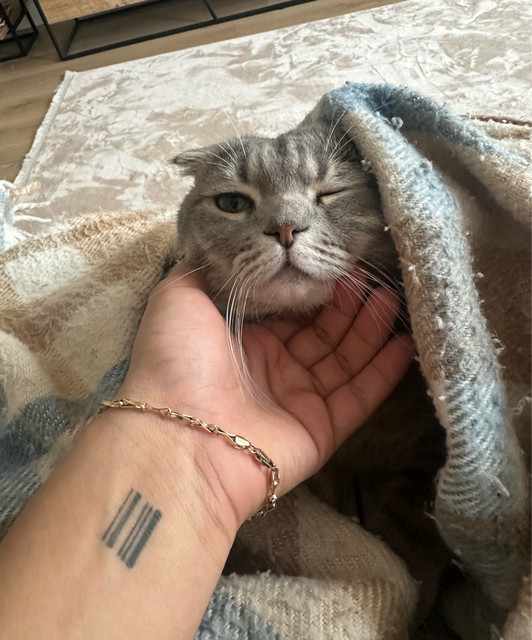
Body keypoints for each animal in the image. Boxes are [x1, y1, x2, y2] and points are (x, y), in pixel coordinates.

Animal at [173, 120, 449, 623]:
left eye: (332, 192)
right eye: (232, 203)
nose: (285, 228)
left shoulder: (429, 456)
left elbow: (409, 527)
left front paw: (411, 600)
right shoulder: (329, 473)